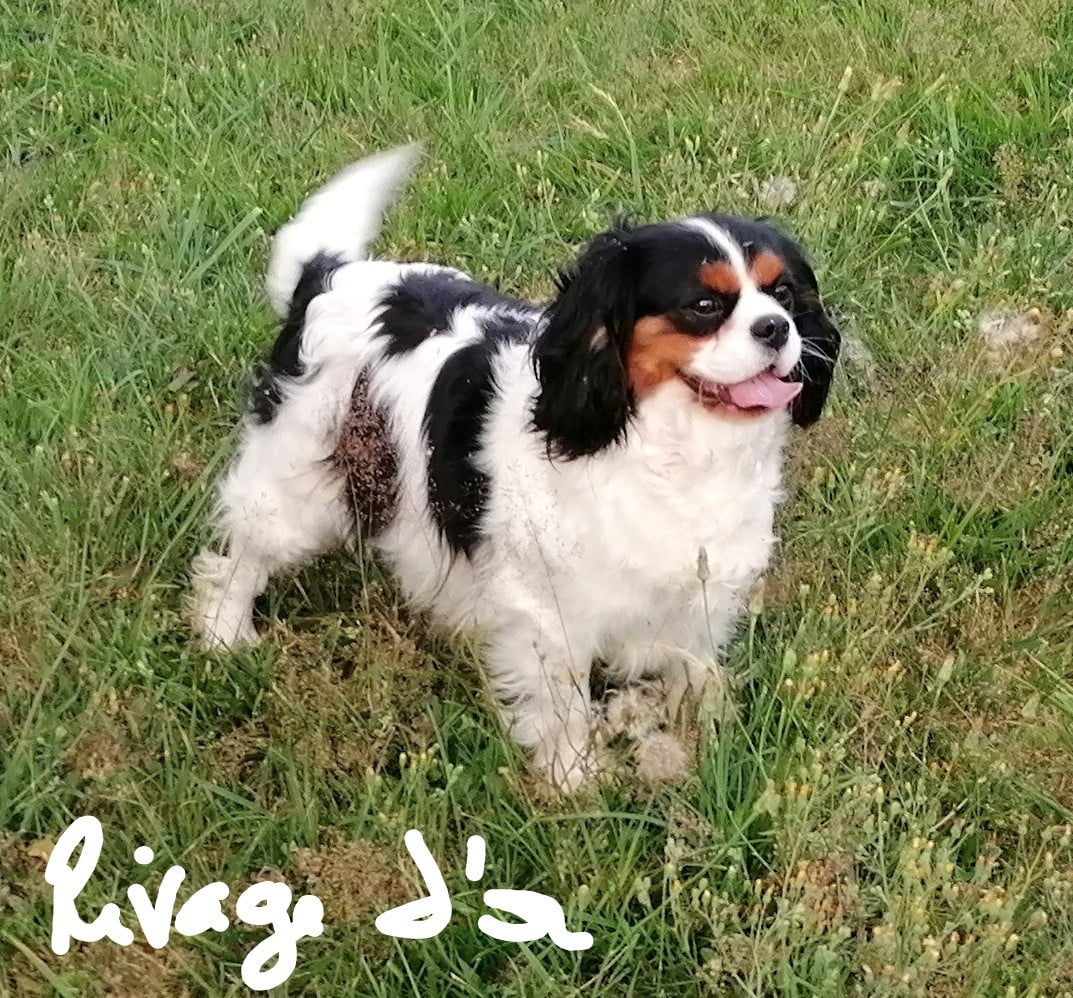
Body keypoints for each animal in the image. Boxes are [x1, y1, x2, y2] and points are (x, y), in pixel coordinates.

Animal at [191, 144, 840, 791]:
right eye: (704, 306)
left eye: (783, 295)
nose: (776, 328)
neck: (669, 445)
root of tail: (329, 277)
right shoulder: (550, 615)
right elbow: (565, 704)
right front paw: (574, 780)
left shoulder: (698, 602)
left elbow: (695, 674)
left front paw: (711, 745)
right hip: (294, 487)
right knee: (238, 561)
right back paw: (226, 634)